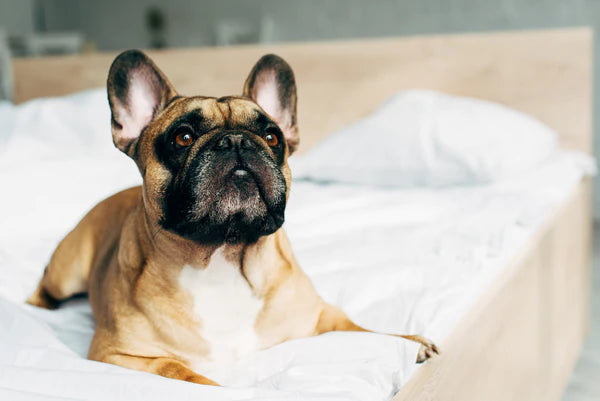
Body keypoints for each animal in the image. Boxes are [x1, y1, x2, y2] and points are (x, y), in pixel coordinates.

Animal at [27, 50, 436, 384]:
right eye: (183, 137)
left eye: (272, 137)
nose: (237, 141)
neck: (224, 254)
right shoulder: (120, 355)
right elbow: (182, 371)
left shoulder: (322, 317)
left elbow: (363, 330)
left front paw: (409, 341)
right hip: (68, 269)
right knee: (47, 281)